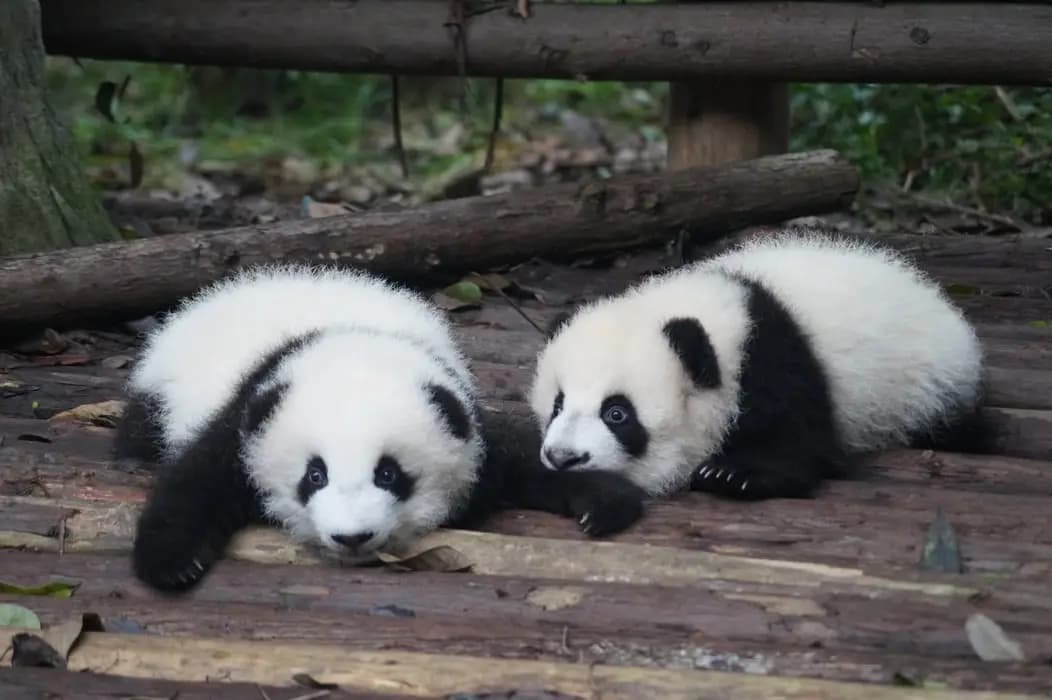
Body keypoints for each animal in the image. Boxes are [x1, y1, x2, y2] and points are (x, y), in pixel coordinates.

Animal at [115, 265, 499, 592]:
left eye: (388, 474)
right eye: (315, 475)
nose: (352, 538)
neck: (350, 340)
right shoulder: (249, 417)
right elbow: (198, 480)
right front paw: (172, 563)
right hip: (160, 390)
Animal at [525, 229, 987, 535]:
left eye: (617, 413)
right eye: (558, 405)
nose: (563, 457)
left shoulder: (775, 360)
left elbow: (800, 441)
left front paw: (733, 474)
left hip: (930, 389)